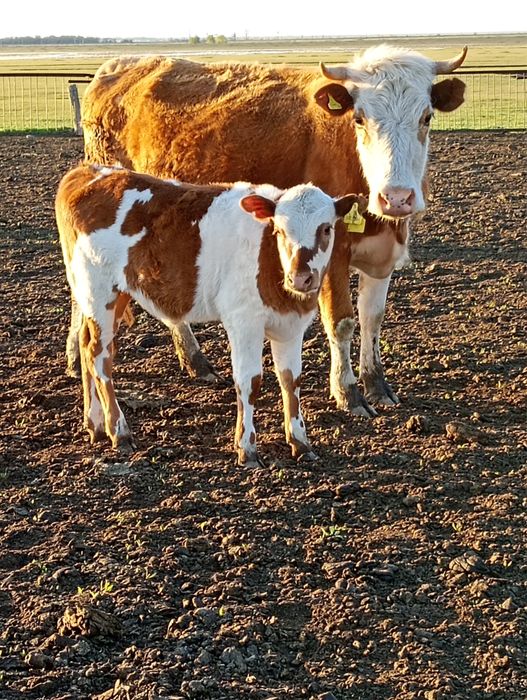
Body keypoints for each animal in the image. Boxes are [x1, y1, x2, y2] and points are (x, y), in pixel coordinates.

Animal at [56, 162, 364, 465]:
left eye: (326, 229)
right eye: (279, 230)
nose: (300, 278)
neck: (270, 261)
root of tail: (89, 172)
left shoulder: (291, 325)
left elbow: (291, 380)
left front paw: (300, 442)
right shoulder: (243, 321)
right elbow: (250, 381)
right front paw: (247, 448)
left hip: (108, 295)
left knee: (85, 344)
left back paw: (95, 424)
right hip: (100, 292)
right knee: (99, 356)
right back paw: (119, 431)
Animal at [73, 44, 467, 417]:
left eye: (426, 117)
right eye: (359, 118)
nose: (396, 198)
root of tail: (117, 66)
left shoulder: (382, 255)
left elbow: (372, 319)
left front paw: (377, 385)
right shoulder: (332, 255)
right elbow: (341, 322)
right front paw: (348, 393)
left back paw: (193, 362)